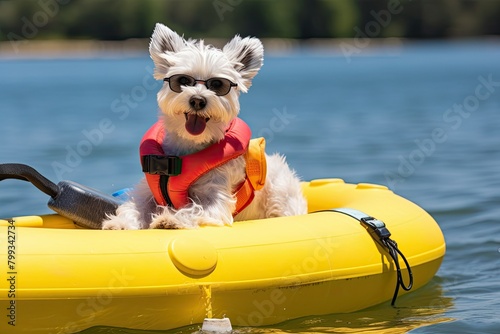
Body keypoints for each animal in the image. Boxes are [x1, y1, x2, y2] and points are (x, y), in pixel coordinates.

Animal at [103, 22, 306, 228]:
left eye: (217, 84)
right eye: (183, 80)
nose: (197, 100)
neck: (189, 145)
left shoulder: (215, 195)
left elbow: (195, 209)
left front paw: (170, 219)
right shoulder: (146, 192)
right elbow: (135, 206)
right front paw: (120, 223)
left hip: (281, 191)